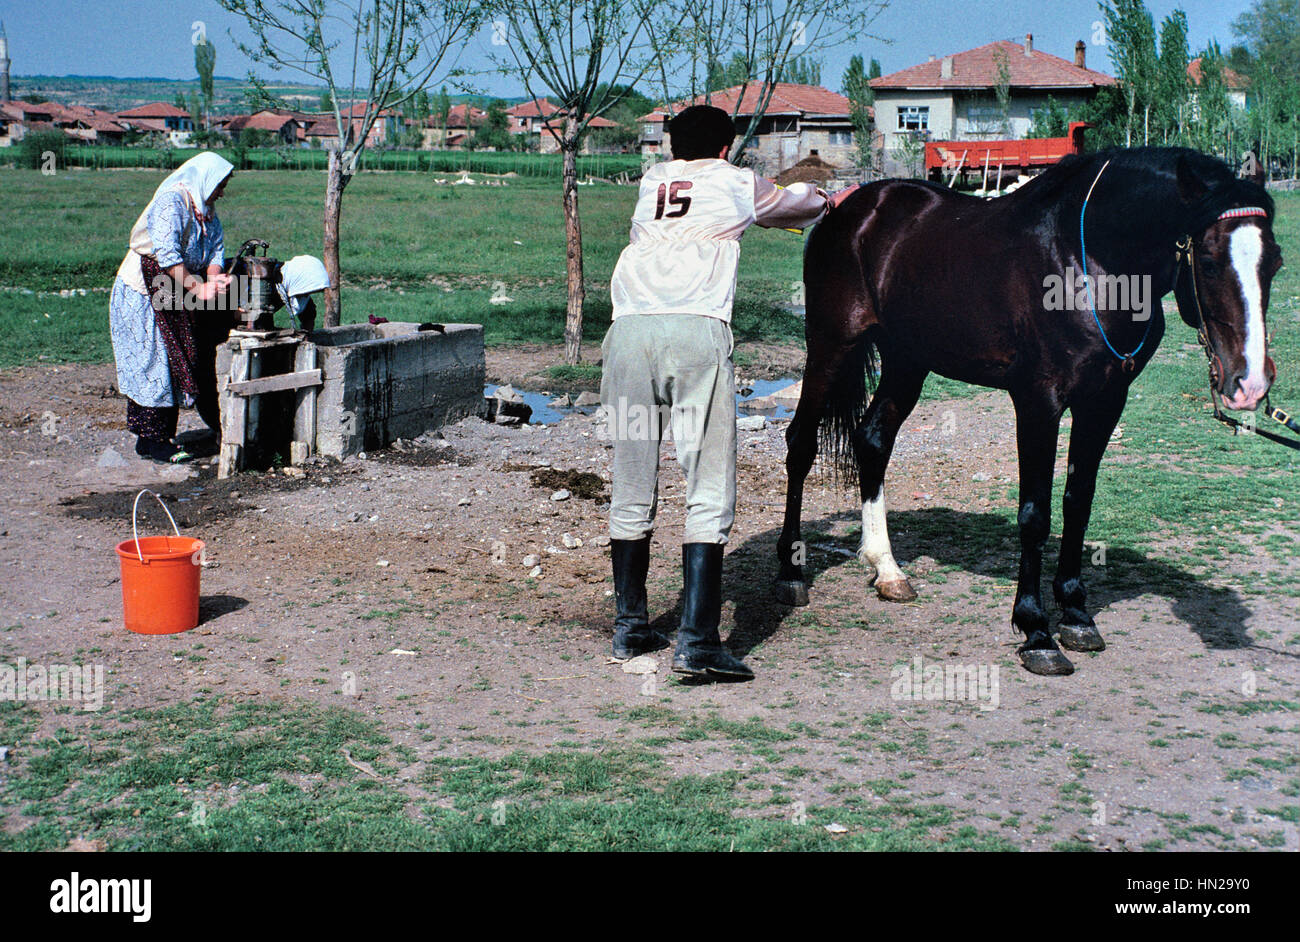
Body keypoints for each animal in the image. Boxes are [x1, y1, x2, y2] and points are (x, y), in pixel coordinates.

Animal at [775, 147, 1283, 676]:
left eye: (1276, 262)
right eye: (1208, 260)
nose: (1249, 383)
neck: (1085, 263)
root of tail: (850, 207)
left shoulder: (1104, 401)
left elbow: (1078, 502)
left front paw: (1076, 614)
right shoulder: (1039, 402)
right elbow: (1035, 513)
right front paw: (1036, 630)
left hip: (907, 360)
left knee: (873, 440)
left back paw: (887, 569)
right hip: (830, 347)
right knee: (801, 445)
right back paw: (791, 574)